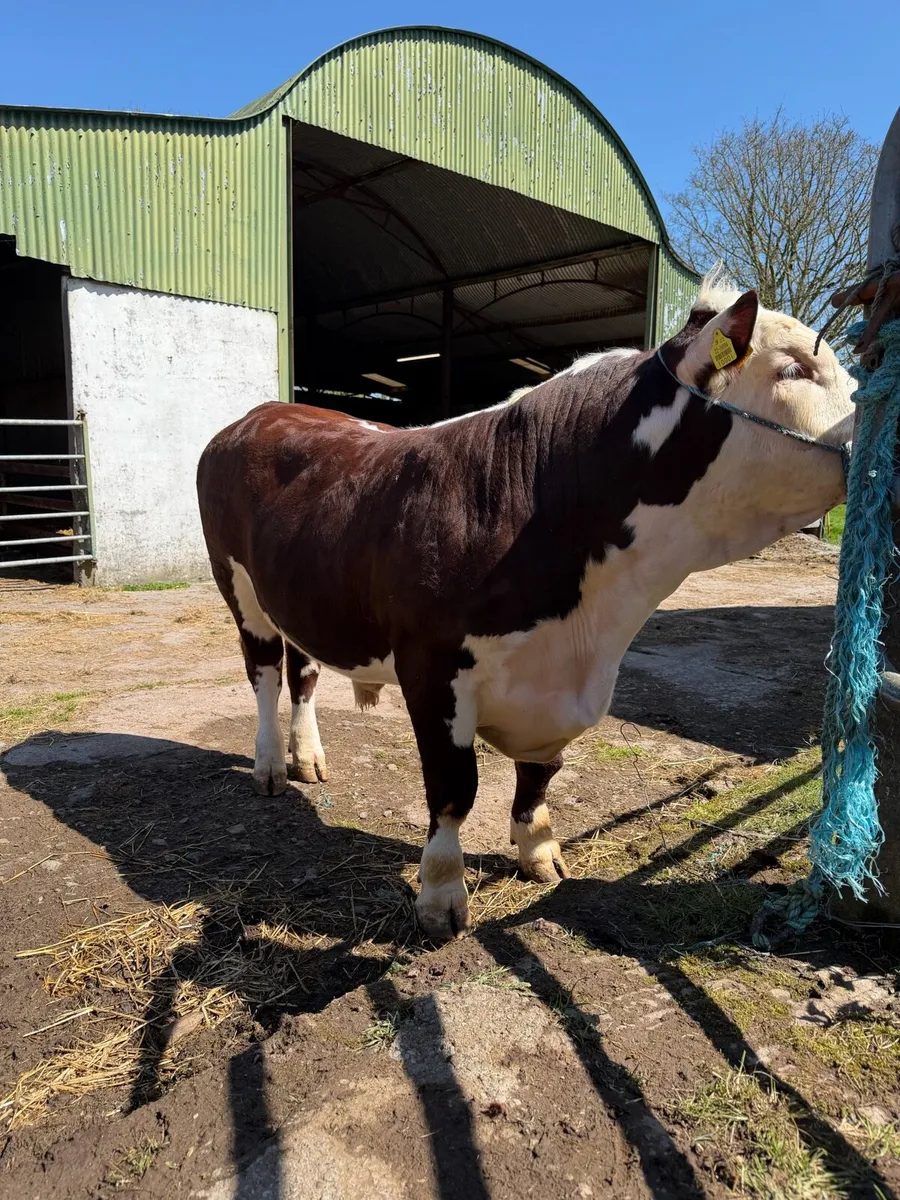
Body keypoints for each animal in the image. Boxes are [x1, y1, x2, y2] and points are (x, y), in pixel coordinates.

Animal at [196, 273, 855, 941]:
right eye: (795, 369)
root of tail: (265, 411)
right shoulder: (431, 667)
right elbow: (454, 788)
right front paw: (441, 895)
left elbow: (541, 773)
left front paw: (538, 851)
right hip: (238, 587)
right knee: (265, 674)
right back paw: (271, 766)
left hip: (302, 593)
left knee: (303, 670)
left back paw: (309, 758)